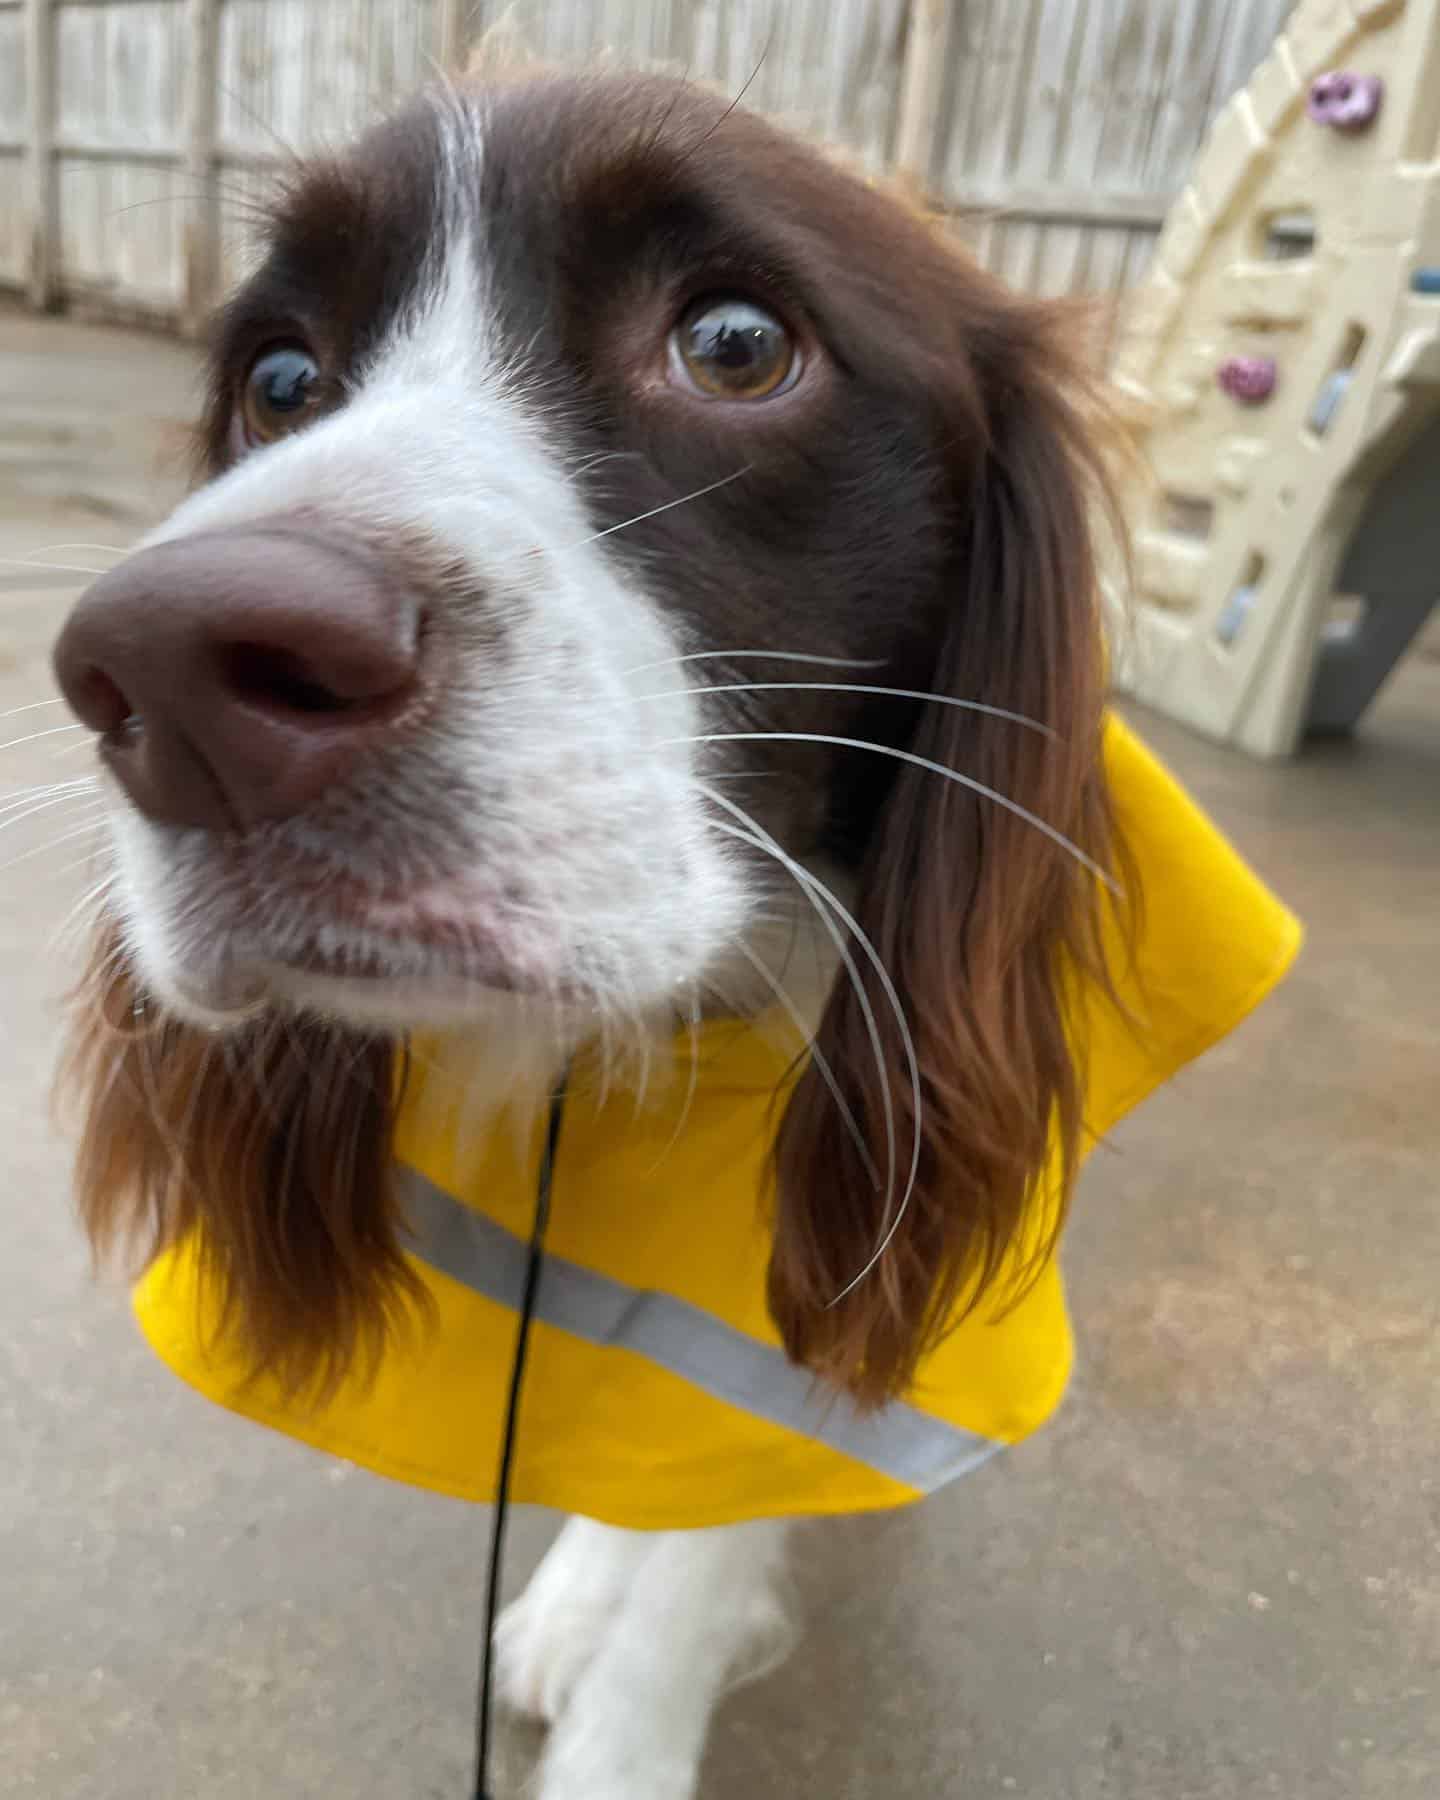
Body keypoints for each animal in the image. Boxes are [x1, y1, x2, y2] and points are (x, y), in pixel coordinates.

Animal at [47, 63, 1303, 1800]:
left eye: (735, 344)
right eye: (280, 378)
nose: (167, 676)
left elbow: (720, 1512)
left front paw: (625, 1712)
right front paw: (589, 1591)